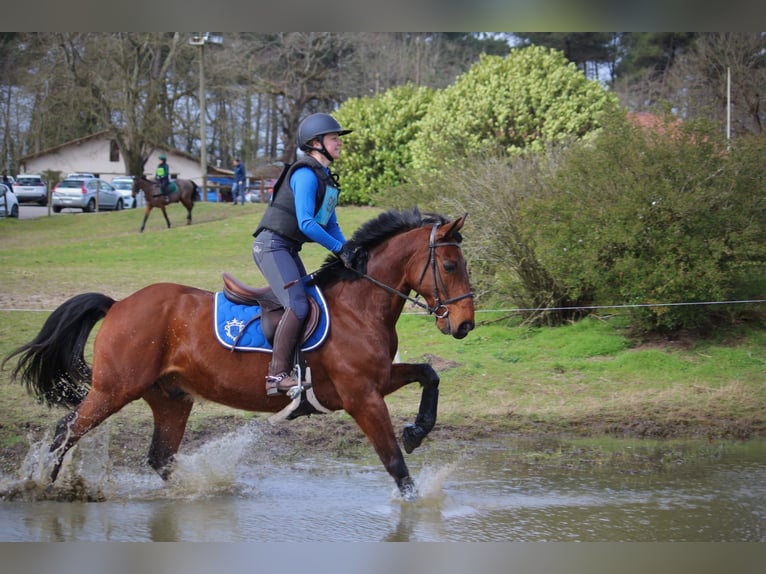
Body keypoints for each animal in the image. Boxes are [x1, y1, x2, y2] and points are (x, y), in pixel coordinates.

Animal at [4, 209, 474, 502]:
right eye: (450, 266)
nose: (465, 324)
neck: (359, 306)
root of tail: (119, 304)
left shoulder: (375, 381)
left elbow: (428, 374)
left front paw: (417, 430)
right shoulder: (361, 396)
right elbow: (393, 461)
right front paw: (415, 503)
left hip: (171, 398)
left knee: (160, 457)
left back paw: (198, 488)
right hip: (114, 389)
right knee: (67, 430)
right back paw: (45, 487)